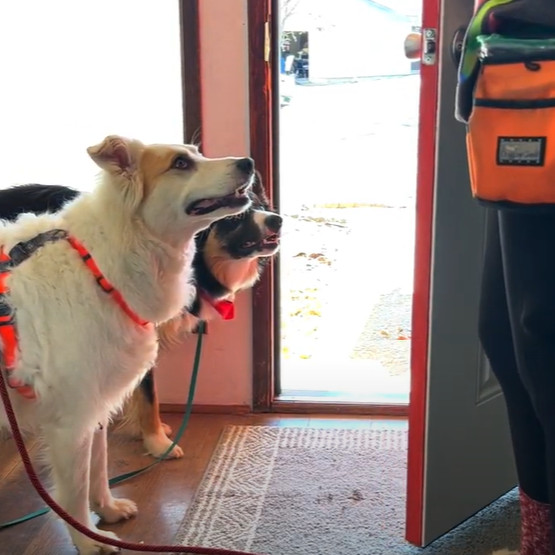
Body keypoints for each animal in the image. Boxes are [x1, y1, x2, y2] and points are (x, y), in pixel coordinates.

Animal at [0, 136, 254, 555]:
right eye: (181, 163)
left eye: (196, 153)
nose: (249, 163)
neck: (99, 265)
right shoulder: (70, 422)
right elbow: (73, 494)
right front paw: (89, 540)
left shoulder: (97, 406)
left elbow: (99, 469)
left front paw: (107, 510)